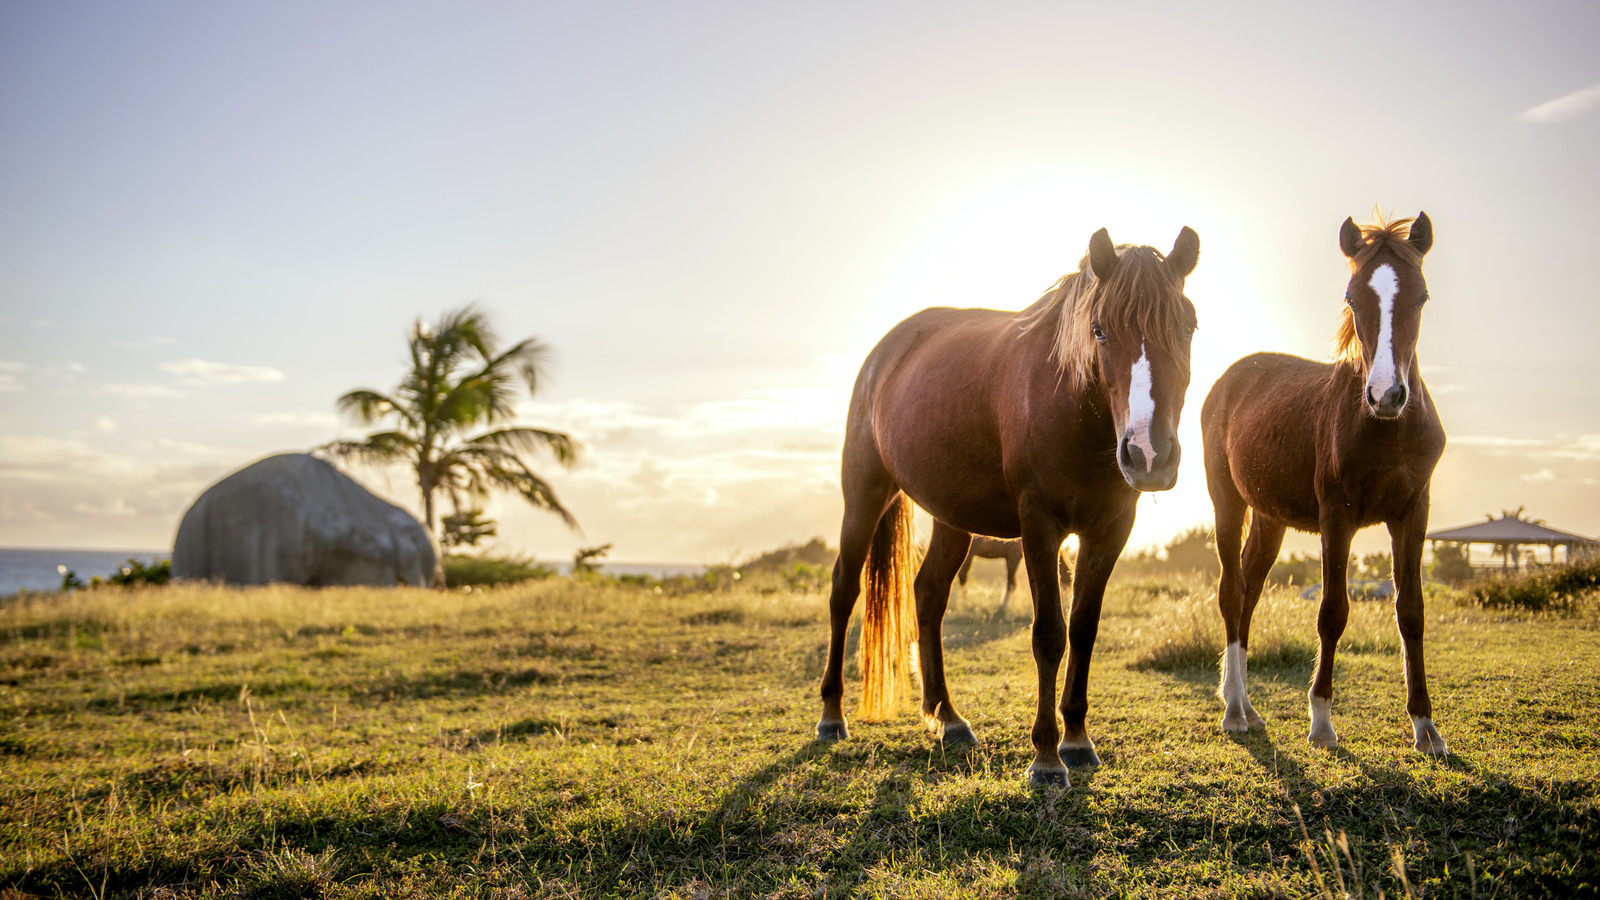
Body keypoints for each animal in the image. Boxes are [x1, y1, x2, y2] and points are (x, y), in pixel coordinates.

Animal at [812, 225, 1203, 784]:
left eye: (1188, 326)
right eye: (1100, 330)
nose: (1149, 454)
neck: (1072, 409)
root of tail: (886, 352)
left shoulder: (1110, 529)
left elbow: (1083, 630)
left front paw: (1077, 740)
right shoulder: (1039, 525)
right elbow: (1049, 635)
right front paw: (1046, 757)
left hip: (952, 519)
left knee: (928, 594)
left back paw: (948, 717)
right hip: (864, 494)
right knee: (844, 591)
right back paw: (831, 715)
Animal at [1203, 212, 1452, 752]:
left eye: (1421, 296)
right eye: (1353, 298)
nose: (1386, 395)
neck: (1385, 429)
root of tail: (1230, 379)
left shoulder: (1413, 514)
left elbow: (1412, 612)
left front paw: (1426, 727)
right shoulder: (1337, 516)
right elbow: (1333, 611)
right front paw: (1320, 721)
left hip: (1270, 519)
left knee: (1249, 592)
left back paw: (1247, 706)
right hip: (1227, 502)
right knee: (1232, 592)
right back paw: (1234, 710)